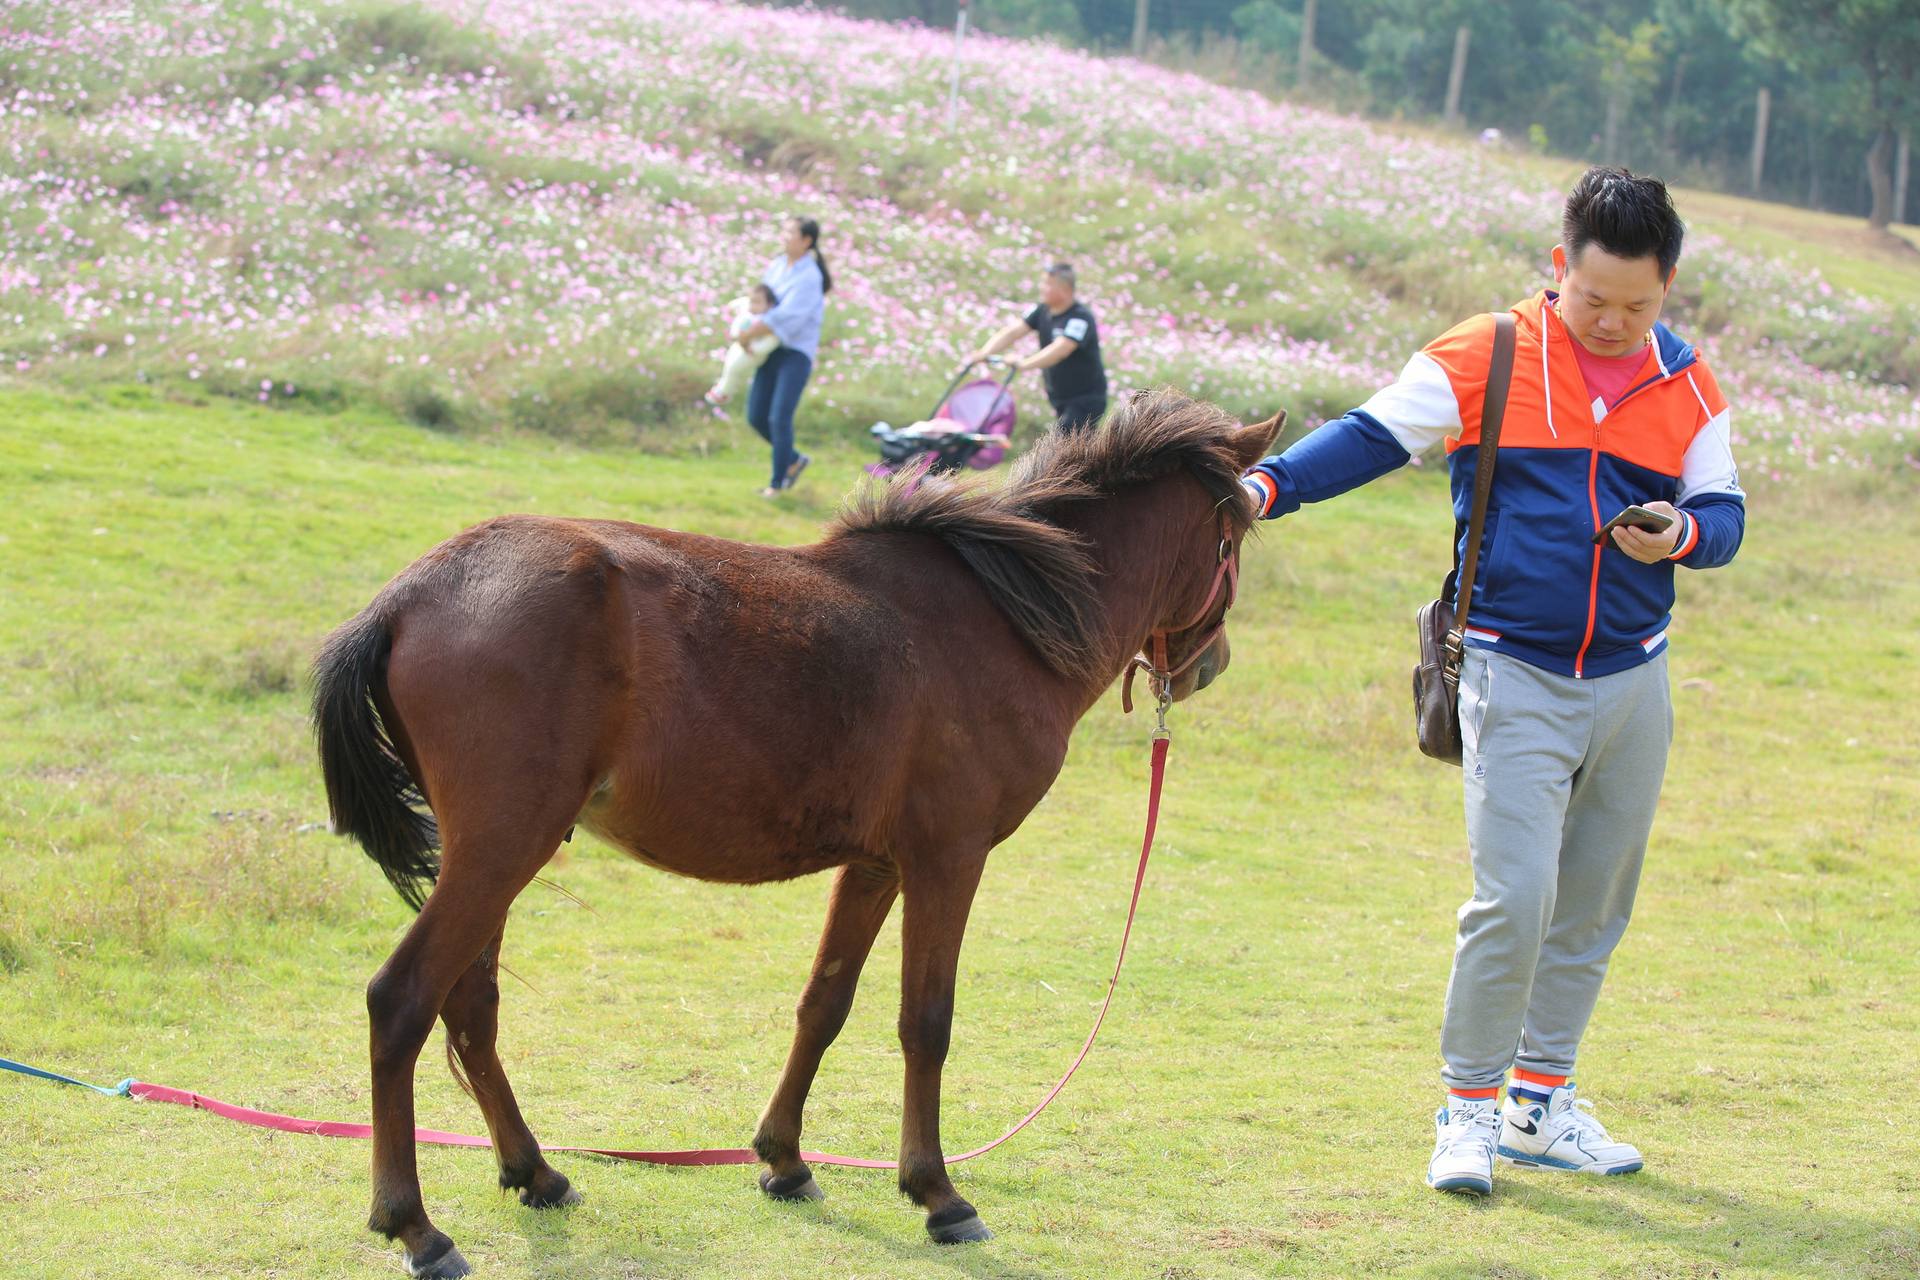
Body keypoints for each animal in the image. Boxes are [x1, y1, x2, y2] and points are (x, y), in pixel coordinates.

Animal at [311, 387, 1274, 1274]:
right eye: (1234, 540)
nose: (1212, 664)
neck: (1004, 616)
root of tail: (409, 596)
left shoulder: (877, 866)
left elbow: (825, 1003)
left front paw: (783, 1158)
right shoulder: (947, 859)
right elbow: (926, 1022)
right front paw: (937, 1192)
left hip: (495, 855)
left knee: (470, 1006)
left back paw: (535, 1171)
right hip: (503, 847)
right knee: (403, 1001)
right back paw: (414, 1224)